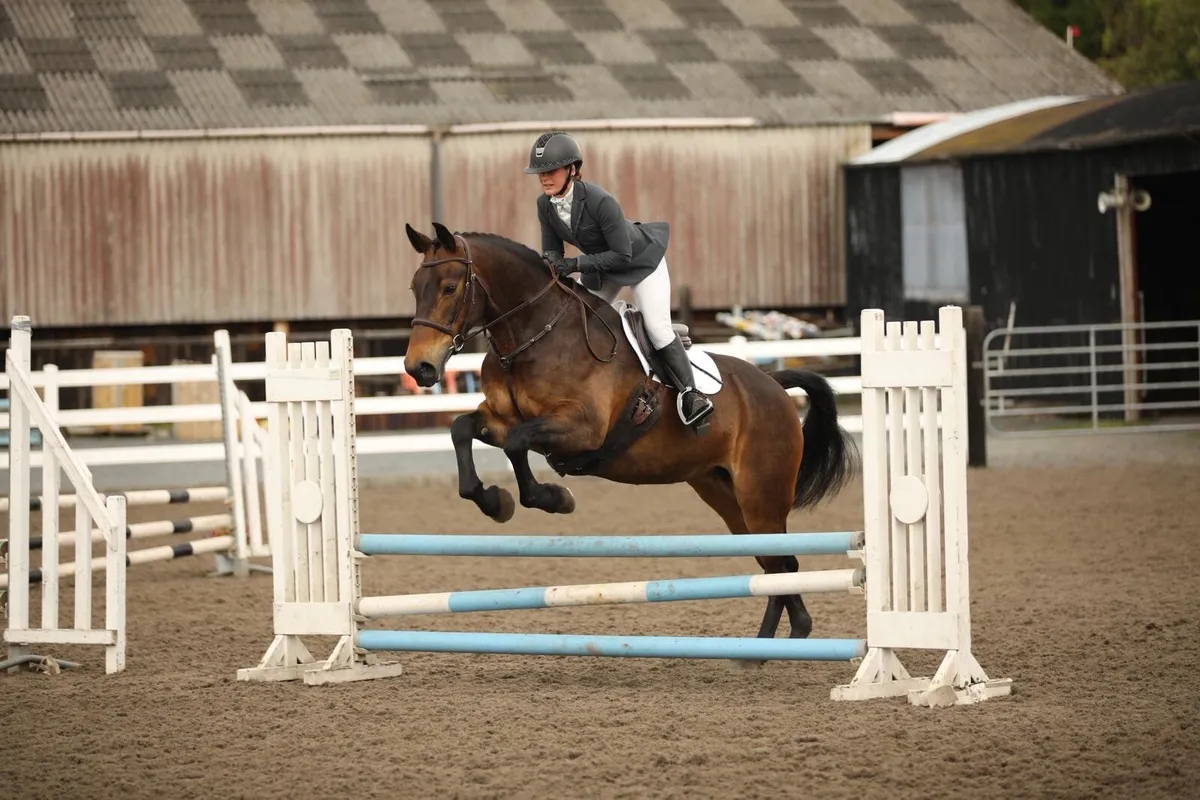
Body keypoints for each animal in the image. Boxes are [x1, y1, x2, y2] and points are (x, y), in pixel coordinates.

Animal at [402, 222, 857, 649]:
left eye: (449, 287)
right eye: (414, 288)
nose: (418, 368)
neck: (531, 337)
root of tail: (774, 385)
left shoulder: (582, 429)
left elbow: (518, 445)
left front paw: (552, 498)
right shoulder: (502, 418)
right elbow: (462, 429)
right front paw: (493, 501)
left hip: (761, 493)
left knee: (780, 564)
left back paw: (774, 645)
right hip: (721, 491)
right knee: (771, 564)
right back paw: (765, 648)